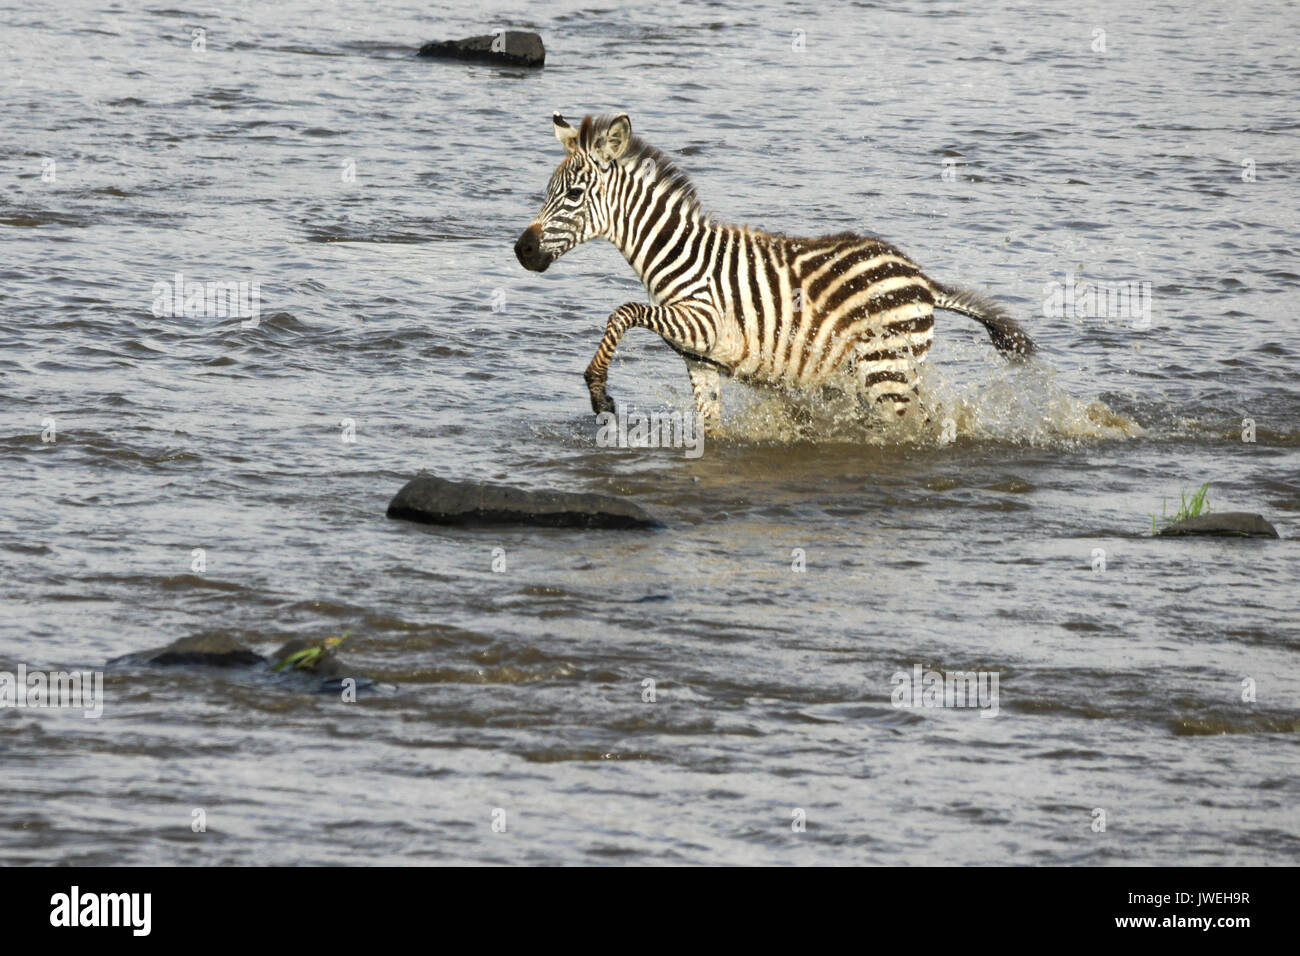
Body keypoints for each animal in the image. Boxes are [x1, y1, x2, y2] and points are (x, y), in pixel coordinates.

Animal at [512, 109, 1029, 434]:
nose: (522, 250)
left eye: (573, 195)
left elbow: (623, 311)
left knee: (917, 427)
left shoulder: (702, 321)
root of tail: (921, 279)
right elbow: (711, 427)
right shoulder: (700, 361)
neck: (676, 254)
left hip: (887, 371)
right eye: (548, 190)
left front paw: (598, 391)